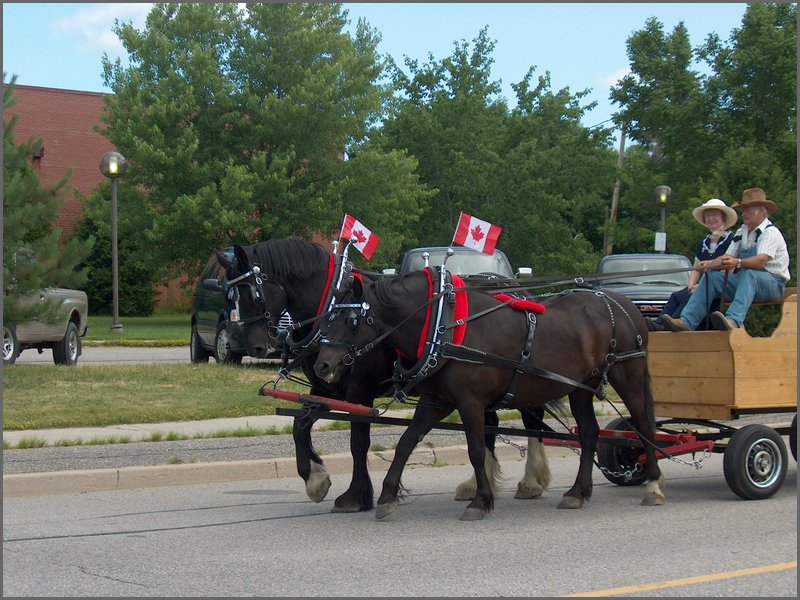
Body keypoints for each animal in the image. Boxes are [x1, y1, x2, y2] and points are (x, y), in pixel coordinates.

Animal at [217, 239, 556, 510]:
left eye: (252, 294)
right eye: (230, 296)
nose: (255, 346)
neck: (331, 308)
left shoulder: (360, 391)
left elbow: (358, 442)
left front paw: (356, 495)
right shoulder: (327, 388)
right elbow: (300, 426)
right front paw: (315, 480)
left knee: (532, 419)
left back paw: (531, 481)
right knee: (490, 425)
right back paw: (476, 484)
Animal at [316, 268, 664, 520]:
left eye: (351, 319)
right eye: (328, 316)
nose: (322, 364)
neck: (443, 326)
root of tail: (626, 305)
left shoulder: (470, 402)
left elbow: (476, 450)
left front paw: (481, 501)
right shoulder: (435, 402)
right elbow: (405, 443)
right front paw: (388, 496)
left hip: (628, 374)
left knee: (643, 424)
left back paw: (653, 485)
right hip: (580, 387)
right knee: (590, 433)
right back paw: (577, 493)